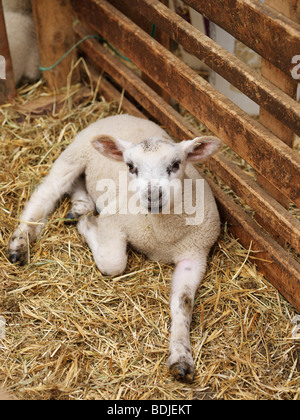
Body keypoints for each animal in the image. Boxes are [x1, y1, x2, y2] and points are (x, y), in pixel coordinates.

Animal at [8, 113, 221, 382]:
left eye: (175, 164)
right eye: (130, 166)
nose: (152, 195)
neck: (162, 235)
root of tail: (121, 114)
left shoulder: (195, 255)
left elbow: (183, 304)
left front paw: (181, 358)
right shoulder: (113, 218)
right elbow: (113, 263)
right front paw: (87, 226)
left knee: (76, 185)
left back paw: (79, 206)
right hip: (73, 155)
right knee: (46, 195)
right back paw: (21, 242)